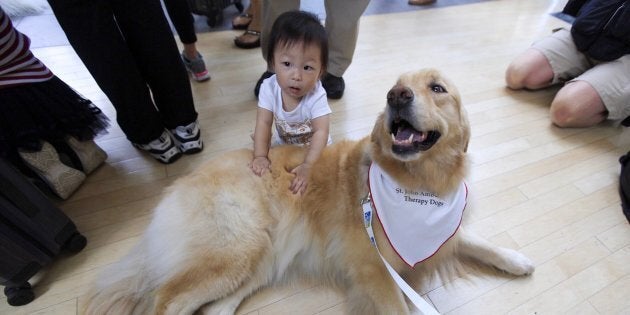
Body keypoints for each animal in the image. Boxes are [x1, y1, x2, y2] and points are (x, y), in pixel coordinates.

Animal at [84, 69, 536, 315]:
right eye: (396, 87)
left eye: (437, 89)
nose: (396, 96)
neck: (419, 185)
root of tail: (182, 182)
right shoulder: (372, 267)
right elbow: (397, 303)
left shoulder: (445, 229)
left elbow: (474, 240)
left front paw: (515, 259)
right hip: (234, 251)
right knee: (167, 300)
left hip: (259, 260)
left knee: (216, 306)